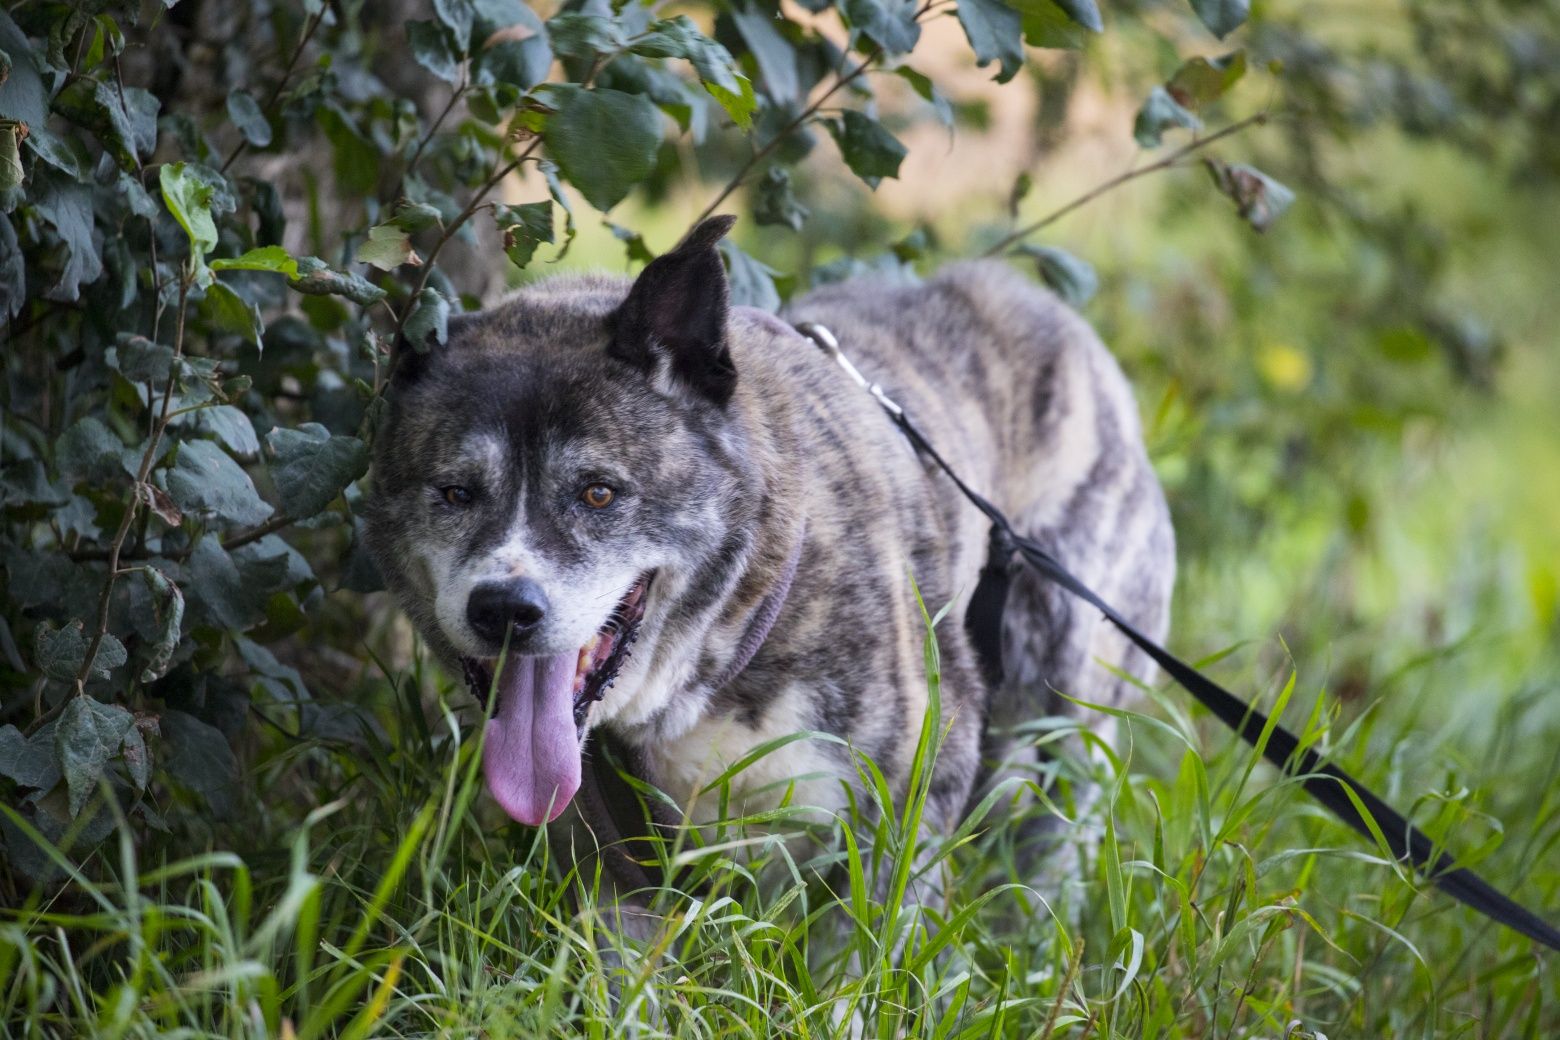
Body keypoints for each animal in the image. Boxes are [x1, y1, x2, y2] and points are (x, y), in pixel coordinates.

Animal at [361, 218, 1173, 929]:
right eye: (455, 493)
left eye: (598, 492)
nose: (505, 608)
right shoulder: (603, 841)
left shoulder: (908, 794)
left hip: (1063, 691)